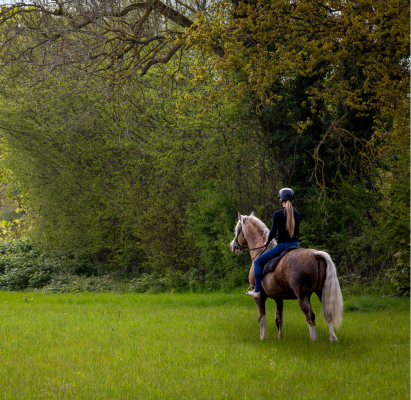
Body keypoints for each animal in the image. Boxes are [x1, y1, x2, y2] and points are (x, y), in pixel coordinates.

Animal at [232, 212, 344, 340]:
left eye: (237, 229)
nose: (233, 246)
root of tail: (315, 254)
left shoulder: (259, 298)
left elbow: (261, 317)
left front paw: (263, 337)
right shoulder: (278, 298)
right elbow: (279, 319)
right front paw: (280, 337)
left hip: (303, 296)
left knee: (310, 316)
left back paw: (314, 340)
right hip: (321, 291)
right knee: (327, 313)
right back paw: (333, 338)